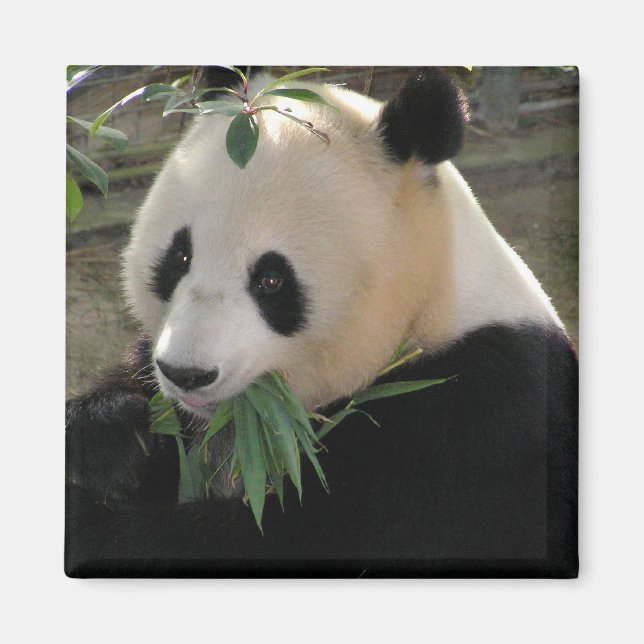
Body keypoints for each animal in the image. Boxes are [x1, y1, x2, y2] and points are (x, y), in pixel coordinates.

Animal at [65, 68, 578, 578]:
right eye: (180, 257)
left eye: (271, 280)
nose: (186, 373)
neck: (424, 313)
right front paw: (110, 436)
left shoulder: (475, 416)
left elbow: (300, 538)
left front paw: (92, 527)